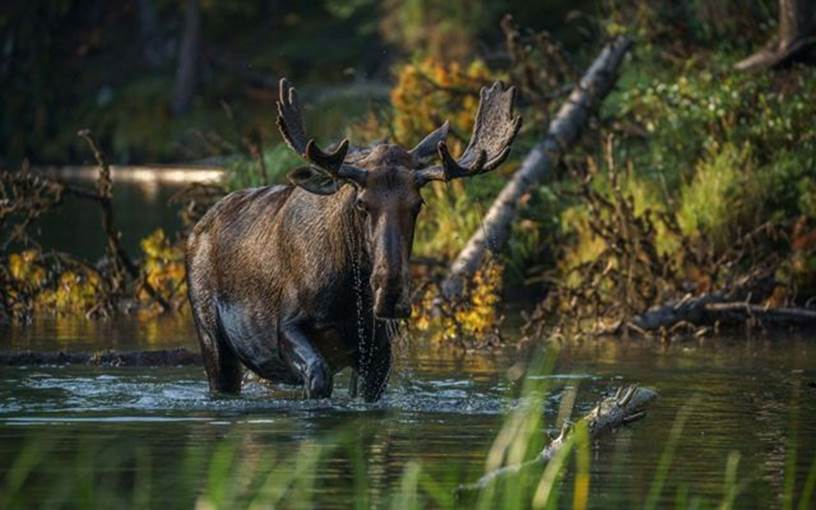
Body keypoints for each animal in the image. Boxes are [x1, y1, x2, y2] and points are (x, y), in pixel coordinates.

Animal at [186, 78, 521, 401]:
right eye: (361, 203)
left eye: (418, 204)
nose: (390, 294)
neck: (347, 295)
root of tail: (195, 231)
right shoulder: (286, 325)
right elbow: (318, 377)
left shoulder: (377, 349)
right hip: (211, 335)